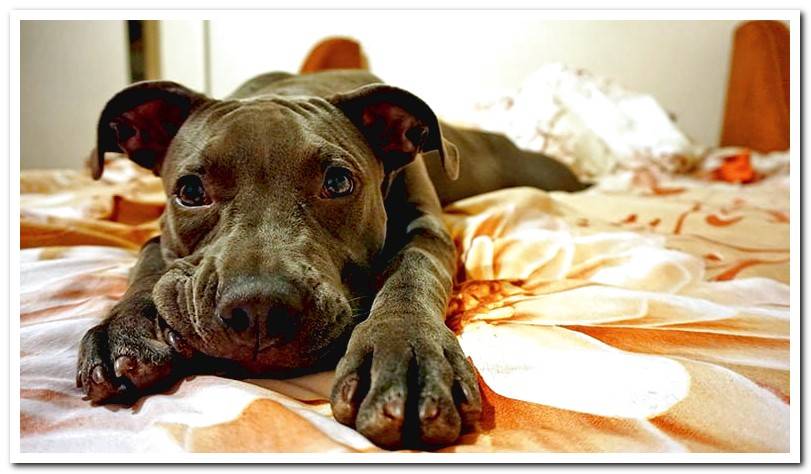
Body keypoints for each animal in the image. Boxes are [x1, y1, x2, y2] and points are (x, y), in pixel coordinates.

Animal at [76, 70, 588, 448]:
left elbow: (413, 270)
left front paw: (405, 350)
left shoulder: (427, 231)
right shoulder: (156, 237)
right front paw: (123, 330)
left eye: (339, 182)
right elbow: (148, 265)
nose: (258, 309)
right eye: (190, 191)